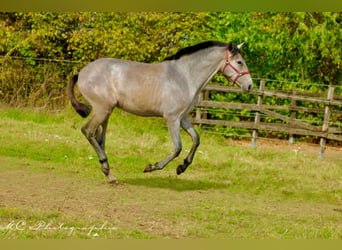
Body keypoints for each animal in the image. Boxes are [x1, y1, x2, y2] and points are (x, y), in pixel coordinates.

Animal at [68, 40, 252, 182]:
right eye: (239, 62)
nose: (250, 86)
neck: (184, 77)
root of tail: (82, 72)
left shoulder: (183, 118)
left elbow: (196, 139)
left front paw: (182, 167)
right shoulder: (172, 118)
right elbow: (178, 147)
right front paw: (152, 167)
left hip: (106, 112)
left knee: (99, 139)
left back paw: (109, 174)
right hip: (102, 110)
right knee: (87, 131)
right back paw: (106, 166)